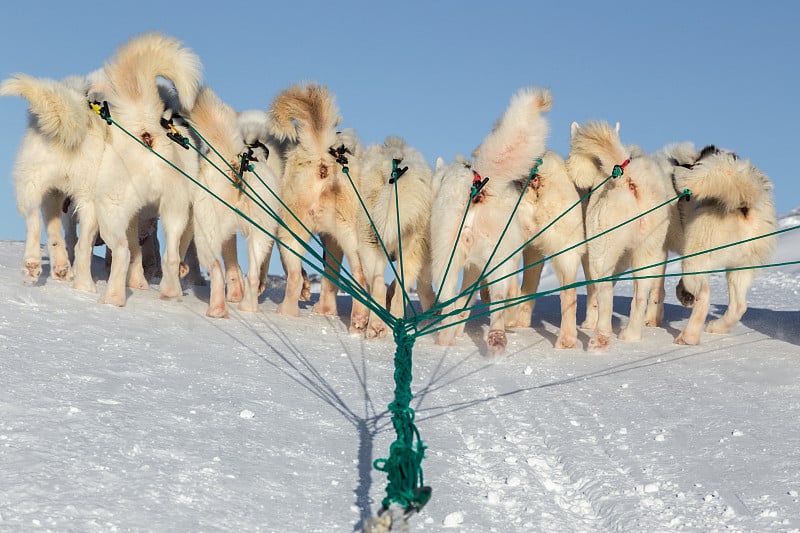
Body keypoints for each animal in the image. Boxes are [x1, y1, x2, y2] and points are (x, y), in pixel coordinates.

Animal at [268, 83, 370, 332]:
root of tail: (322, 157)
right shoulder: (332, 241)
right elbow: (329, 277)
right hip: (350, 235)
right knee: (359, 275)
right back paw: (357, 319)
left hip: (290, 228)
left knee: (294, 276)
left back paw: (286, 312)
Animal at [428, 86, 552, 354]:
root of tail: (478, 185)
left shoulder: (472, 268)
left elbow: (463, 302)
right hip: (498, 259)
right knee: (497, 303)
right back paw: (496, 337)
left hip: (447, 262)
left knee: (450, 303)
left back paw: (450, 339)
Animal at [564, 122, 672, 352]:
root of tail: (630, 179)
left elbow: (593, 291)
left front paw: (588, 323)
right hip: (648, 252)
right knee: (639, 297)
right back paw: (630, 335)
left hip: (602, 249)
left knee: (605, 293)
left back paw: (600, 337)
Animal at [672, 145, 780, 344]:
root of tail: (744, 206)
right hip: (740, 268)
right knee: (739, 306)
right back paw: (716, 327)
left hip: (695, 259)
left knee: (705, 294)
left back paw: (689, 337)